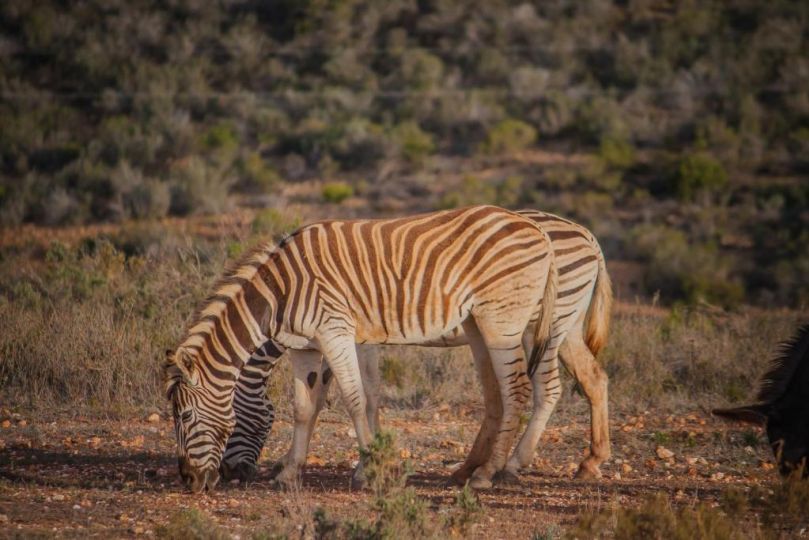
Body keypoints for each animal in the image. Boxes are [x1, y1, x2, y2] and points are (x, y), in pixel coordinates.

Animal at [163, 205, 556, 492]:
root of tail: (533, 226)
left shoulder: (335, 331)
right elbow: (305, 407)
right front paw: (290, 472)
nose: (190, 480)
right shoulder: (305, 347)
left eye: (184, 417)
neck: (278, 292)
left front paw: (369, 469)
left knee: (519, 390)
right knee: (504, 392)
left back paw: (490, 473)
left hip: (503, 322)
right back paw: (477, 470)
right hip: (482, 323)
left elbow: (355, 399)